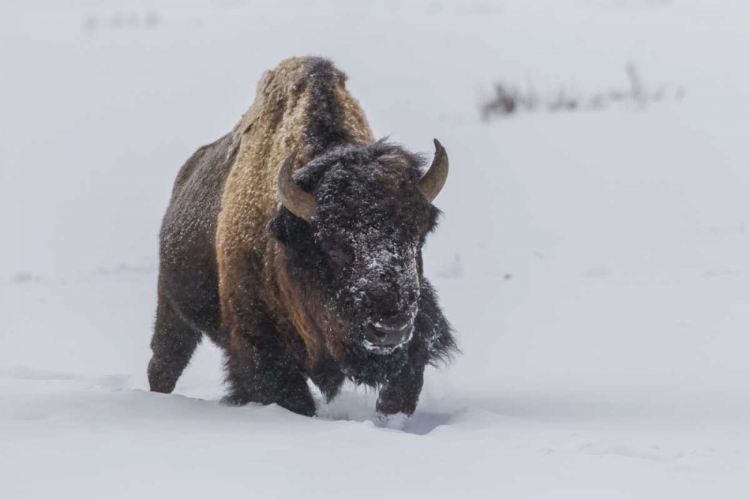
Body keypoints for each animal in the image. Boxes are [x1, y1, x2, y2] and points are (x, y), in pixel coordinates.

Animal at [148, 55, 458, 418]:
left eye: (417, 236)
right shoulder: (261, 345)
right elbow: (289, 394)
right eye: (333, 245)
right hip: (171, 310)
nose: (391, 328)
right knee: (165, 362)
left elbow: (404, 385)